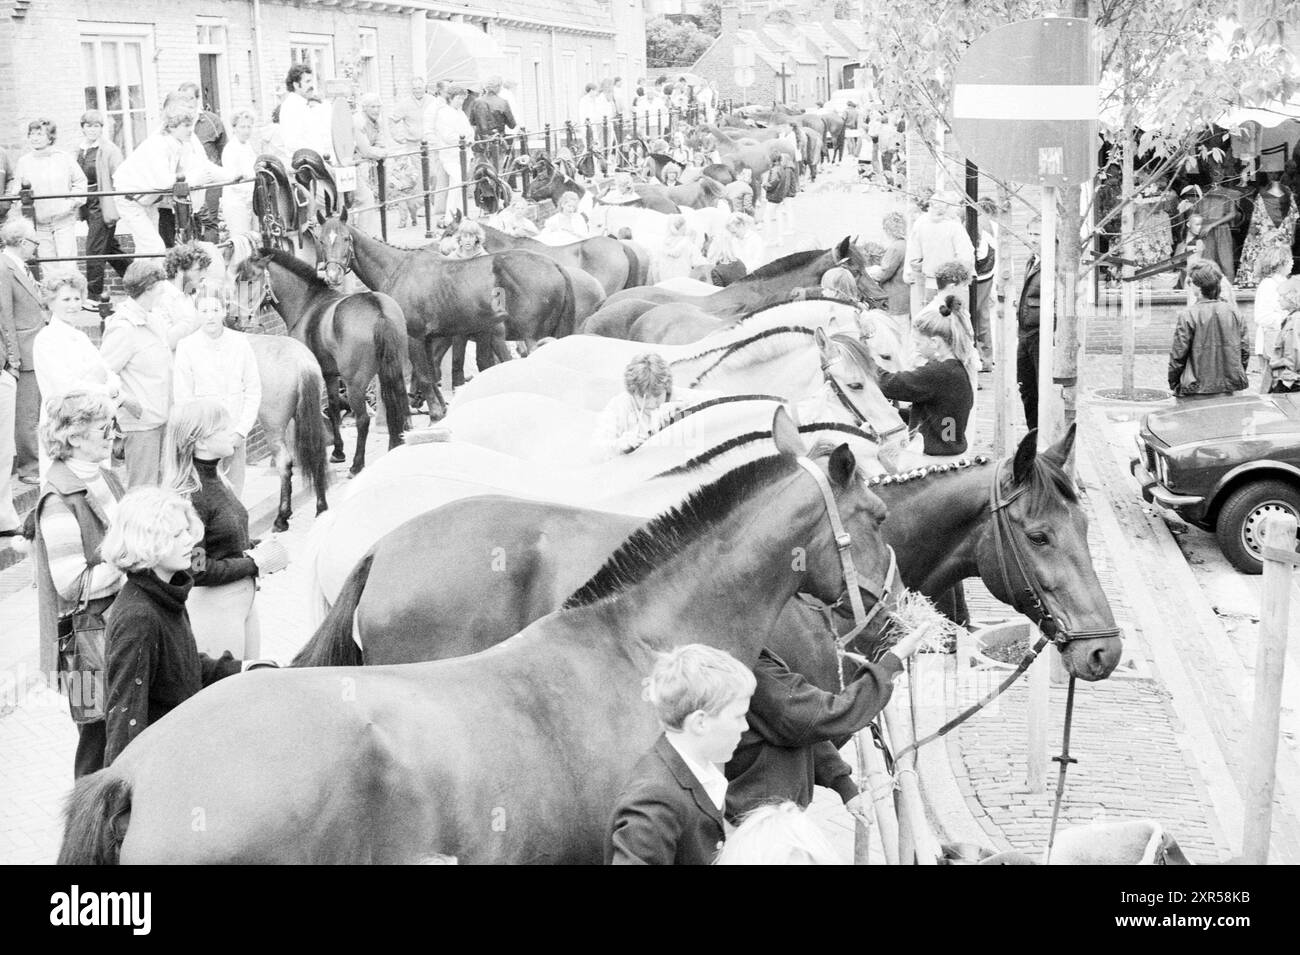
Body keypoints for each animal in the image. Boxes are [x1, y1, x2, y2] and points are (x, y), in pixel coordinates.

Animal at [231, 244, 408, 472]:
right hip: (393, 370)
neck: (306, 304)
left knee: (362, 420)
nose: (235, 318)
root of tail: (378, 310)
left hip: (354, 383)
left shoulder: (320, 375)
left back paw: (357, 464)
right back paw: (395, 444)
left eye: (250, 279)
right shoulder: (331, 374)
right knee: (398, 403)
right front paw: (338, 451)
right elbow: (333, 407)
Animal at [312, 214, 577, 420]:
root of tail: (554, 265)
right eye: (321, 240)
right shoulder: (432, 339)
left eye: (346, 238)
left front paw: (435, 413)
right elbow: (431, 374)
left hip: (533, 337)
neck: (397, 269)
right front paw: (438, 408)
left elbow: (424, 375)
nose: (333, 275)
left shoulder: (415, 337)